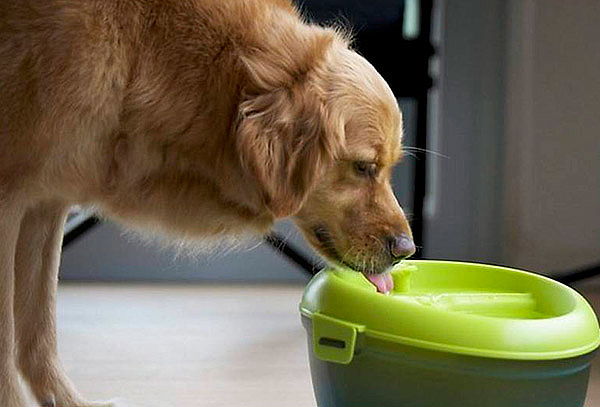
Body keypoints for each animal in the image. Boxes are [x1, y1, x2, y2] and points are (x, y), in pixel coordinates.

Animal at [0, 0, 412, 406]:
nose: (406, 249)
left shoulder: (47, 199)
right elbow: (9, 338)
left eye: (391, 167)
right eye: (364, 167)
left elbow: (39, 328)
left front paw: (65, 399)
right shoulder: (12, 200)